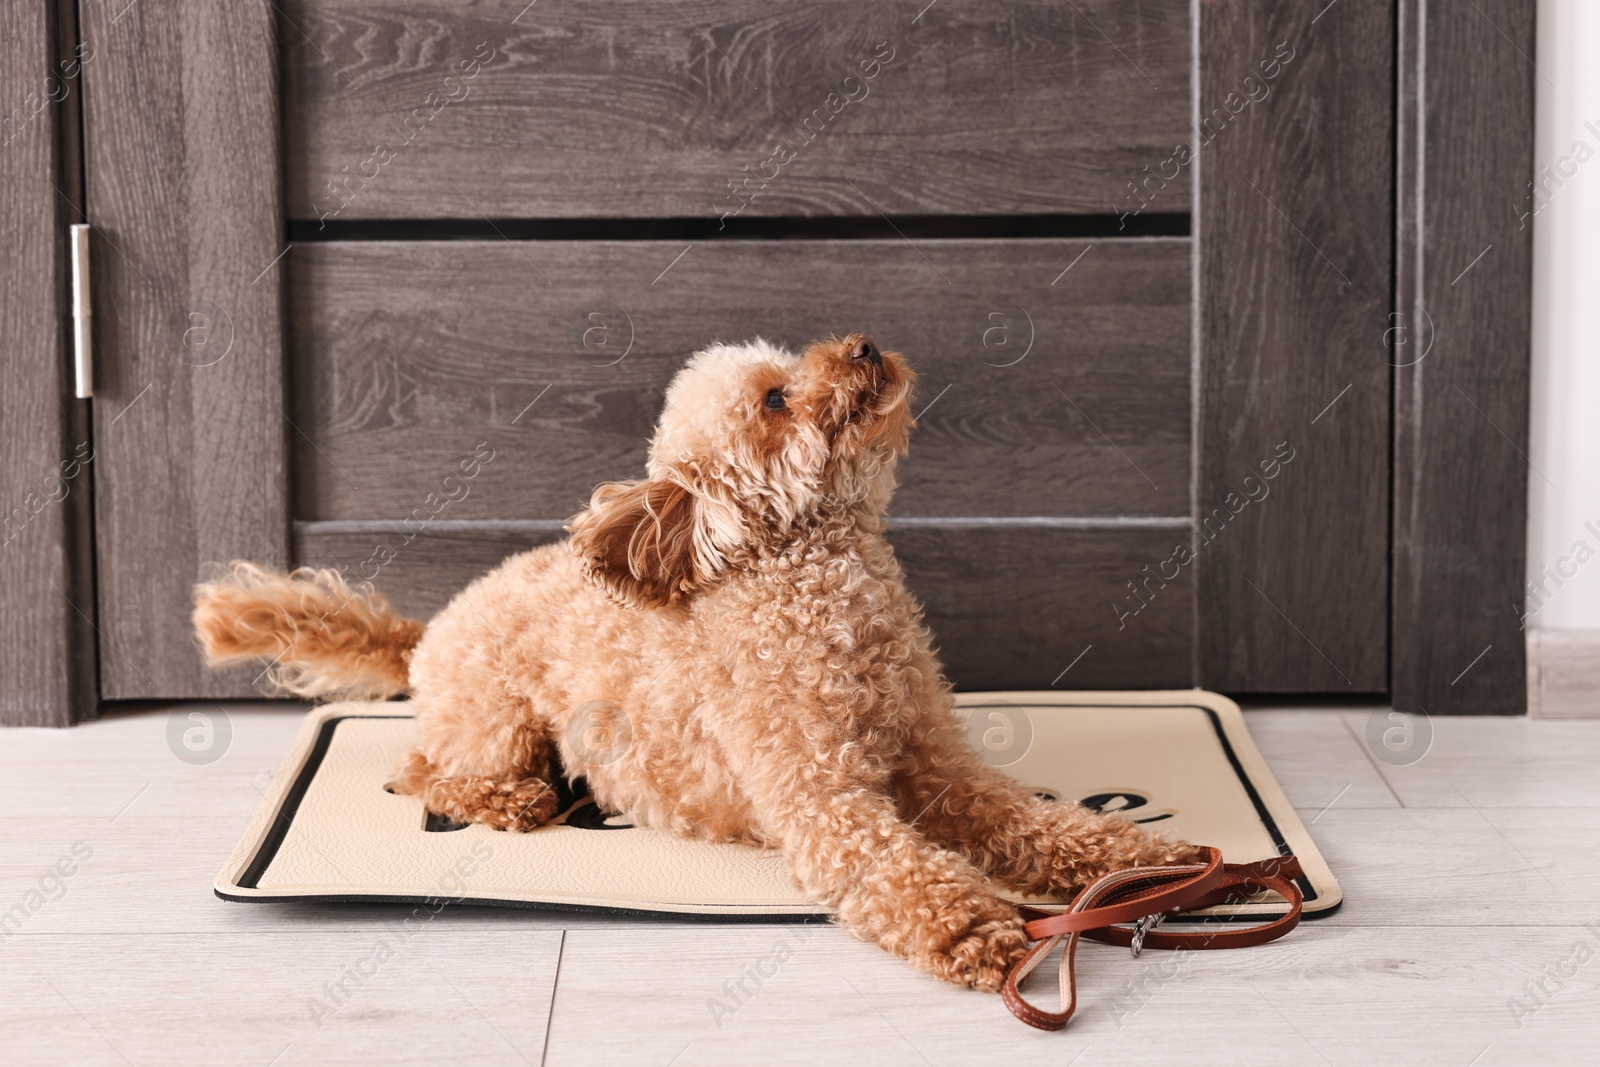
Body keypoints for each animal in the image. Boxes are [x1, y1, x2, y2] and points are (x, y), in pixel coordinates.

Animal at [193, 334, 1196, 991]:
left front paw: (1147, 865)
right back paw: (514, 801)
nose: (865, 343)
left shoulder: (939, 768)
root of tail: (429, 629)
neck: (820, 597)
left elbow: (1040, 822)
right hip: (497, 719)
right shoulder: (825, 804)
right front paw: (983, 928)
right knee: (422, 769)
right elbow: (900, 871)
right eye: (775, 399)